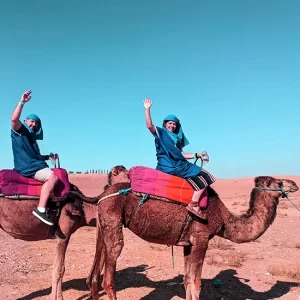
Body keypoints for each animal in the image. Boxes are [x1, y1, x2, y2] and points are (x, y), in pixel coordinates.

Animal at [84, 176, 298, 300]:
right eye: (279, 182)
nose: (295, 184)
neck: (224, 220)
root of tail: (102, 194)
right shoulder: (202, 238)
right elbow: (196, 285)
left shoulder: (188, 243)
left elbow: (187, 281)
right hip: (113, 221)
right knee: (109, 278)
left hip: (103, 225)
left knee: (93, 276)